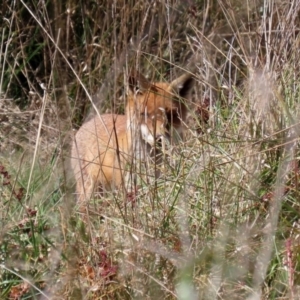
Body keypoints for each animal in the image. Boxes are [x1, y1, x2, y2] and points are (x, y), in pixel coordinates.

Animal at [72, 70, 195, 202]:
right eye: (145, 114)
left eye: (170, 114)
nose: (159, 138)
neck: (154, 162)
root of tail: (86, 123)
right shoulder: (132, 190)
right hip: (90, 193)